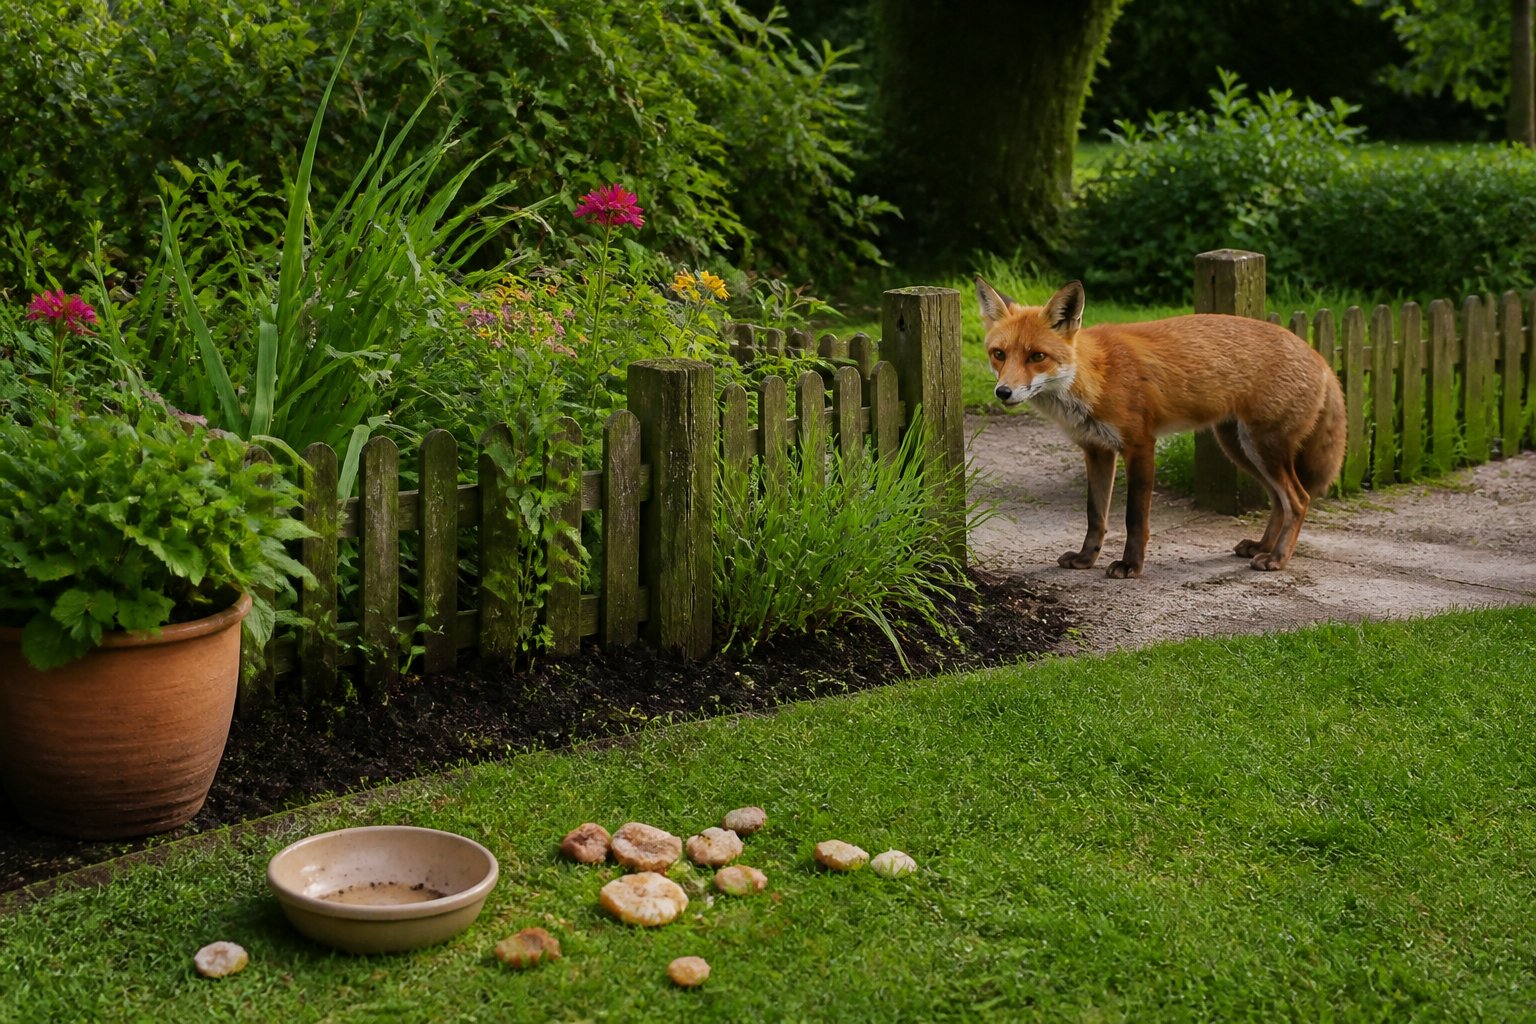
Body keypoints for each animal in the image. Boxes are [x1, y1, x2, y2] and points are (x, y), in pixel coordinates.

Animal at [976, 276, 1346, 578]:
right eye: (999, 354)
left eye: (1037, 356)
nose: (1003, 392)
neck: (1097, 376)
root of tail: (1321, 357)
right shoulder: (1096, 450)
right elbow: (1096, 515)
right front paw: (1085, 559)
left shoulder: (1140, 445)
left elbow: (1134, 518)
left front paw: (1130, 566)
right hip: (1240, 448)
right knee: (1278, 500)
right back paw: (1262, 547)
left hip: (1263, 447)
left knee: (1298, 500)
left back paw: (1277, 558)